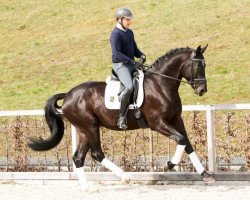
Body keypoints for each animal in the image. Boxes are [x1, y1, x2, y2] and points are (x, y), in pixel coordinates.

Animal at [27, 44, 215, 190]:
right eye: (199, 66)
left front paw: (205, 175)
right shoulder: (157, 123)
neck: (161, 85)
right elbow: (181, 139)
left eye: (205, 65)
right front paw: (168, 165)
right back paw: (125, 177)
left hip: (83, 130)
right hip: (91, 126)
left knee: (78, 158)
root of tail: (67, 96)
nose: (202, 90)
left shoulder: (176, 119)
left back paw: (88, 188)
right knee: (97, 154)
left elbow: (187, 143)